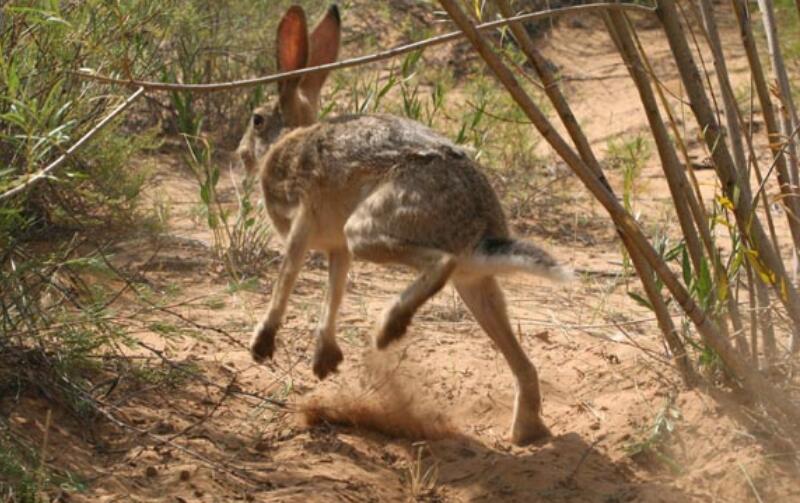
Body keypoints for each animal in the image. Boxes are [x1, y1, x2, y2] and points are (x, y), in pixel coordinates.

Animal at [234, 3, 572, 444]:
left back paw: (387, 329)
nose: (240, 155)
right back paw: (526, 431)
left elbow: (287, 275)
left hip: (370, 227)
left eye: (257, 119)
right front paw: (324, 361)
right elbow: (334, 290)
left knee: (440, 262)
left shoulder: (305, 221)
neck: (287, 140)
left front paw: (263, 343)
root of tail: (478, 233)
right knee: (523, 363)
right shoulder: (335, 248)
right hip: (473, 284)